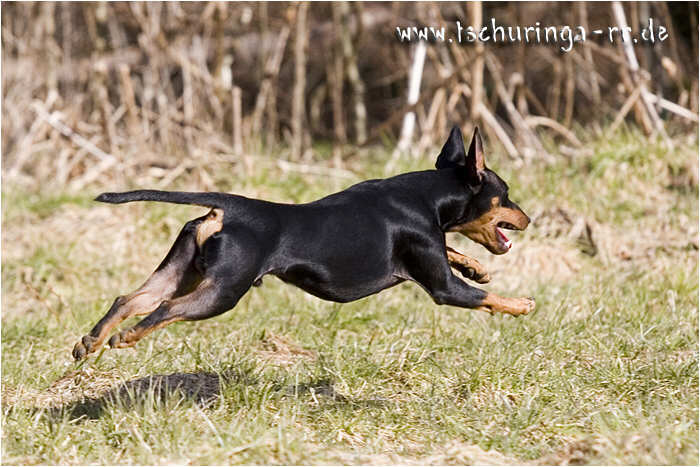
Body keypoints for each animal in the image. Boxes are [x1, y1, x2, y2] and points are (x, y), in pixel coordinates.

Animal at [72, 126, 534, 360]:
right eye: (507, 194)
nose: (528, 217)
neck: (426, 196)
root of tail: (227, 207)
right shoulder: (443, 288)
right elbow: (486, 298)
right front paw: (523, 304)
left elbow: (457, 254)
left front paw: (478, 266)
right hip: (222, 291)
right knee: (165, 310)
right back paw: (126, 338)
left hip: (181, 271)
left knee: (129, 299)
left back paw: (91, 341)